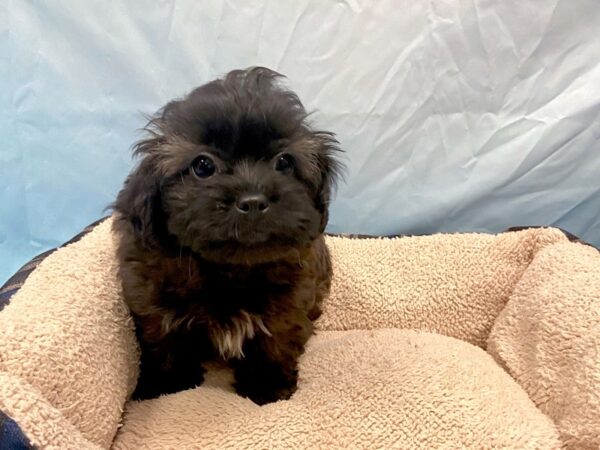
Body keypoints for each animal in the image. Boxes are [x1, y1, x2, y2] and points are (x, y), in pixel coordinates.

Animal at [112, 66, 342, 404]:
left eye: (284, 162)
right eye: (203, 166)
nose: (253, 201)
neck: (230, 270)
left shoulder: (290, 301)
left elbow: (275, 340)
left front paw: (267, 387)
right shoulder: (150, 299)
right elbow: (163, 341)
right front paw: (168, 384)